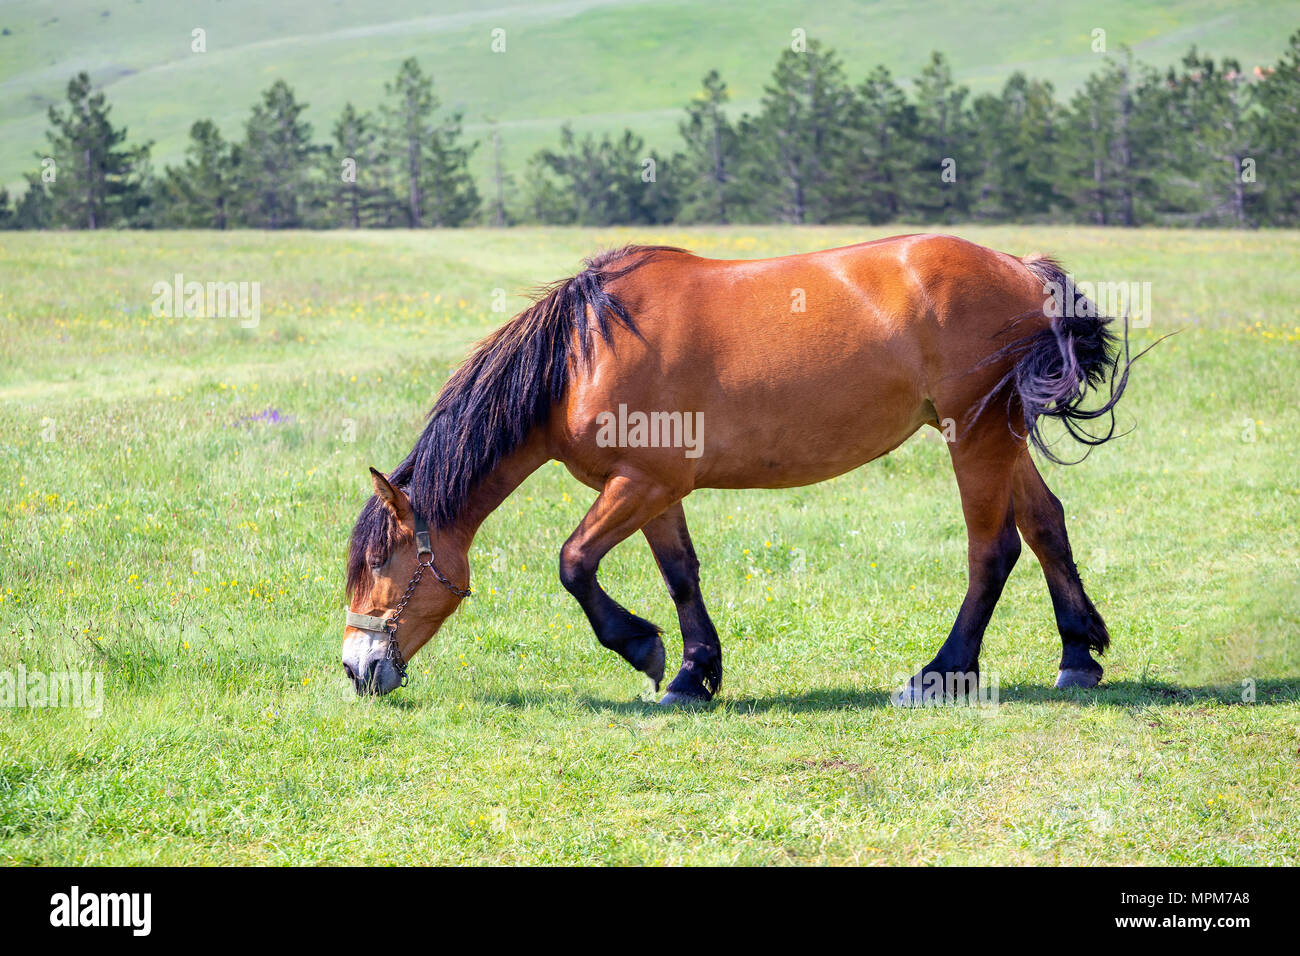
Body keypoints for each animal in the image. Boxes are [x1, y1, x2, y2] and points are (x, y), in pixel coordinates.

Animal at [342, 234, 1146, 705]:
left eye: (380, 562)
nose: (356, 669)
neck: (582, 353)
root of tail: (1025, 271)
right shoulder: (652, 488)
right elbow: (680, 576)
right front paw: (693, 675)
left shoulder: (640, 486)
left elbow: (573, 563)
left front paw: (642, 648)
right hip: (999, 436)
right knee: (1045, 525)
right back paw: (1078, 656)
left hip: (974, 436)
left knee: (994, 549)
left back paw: (942, 673)